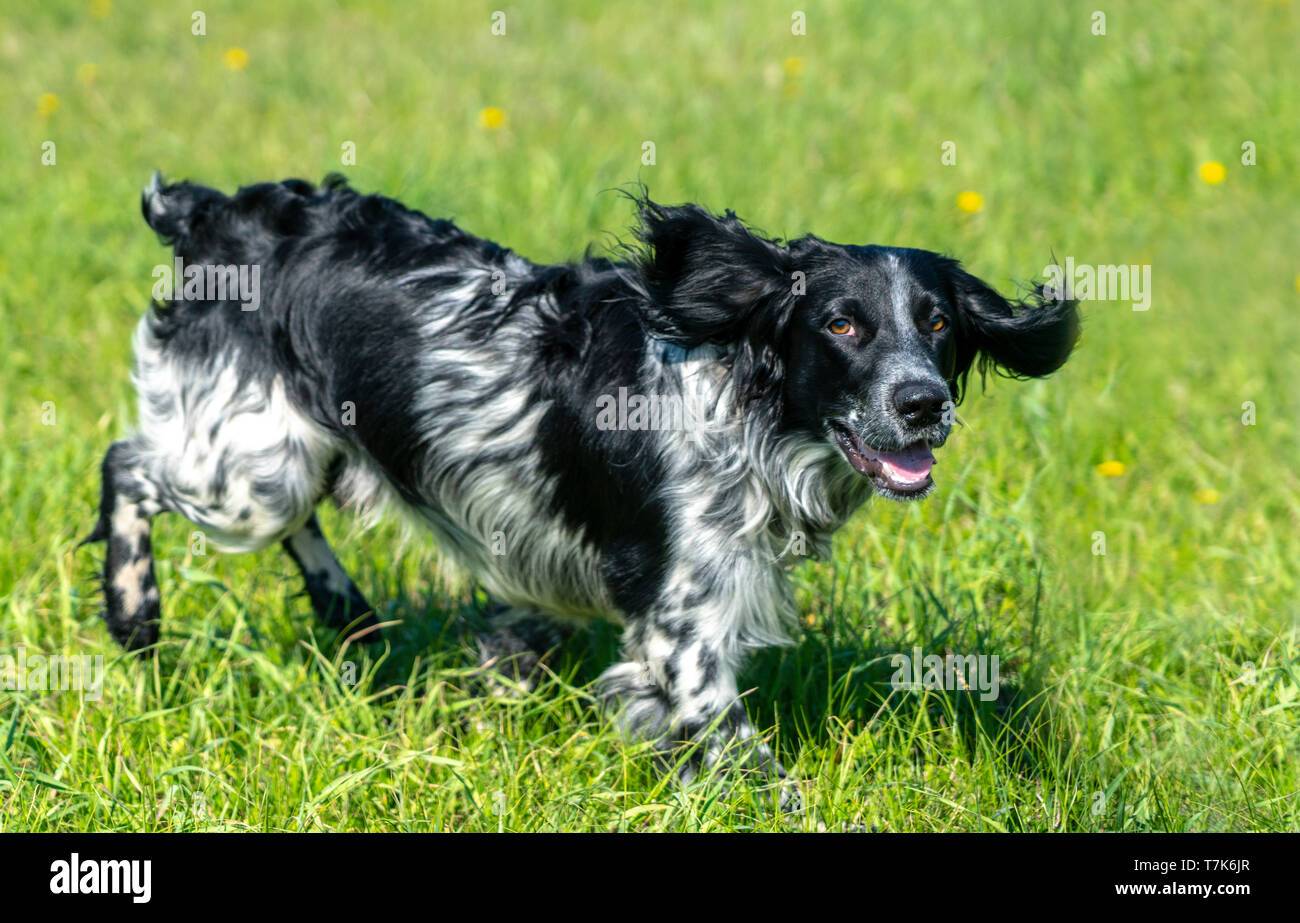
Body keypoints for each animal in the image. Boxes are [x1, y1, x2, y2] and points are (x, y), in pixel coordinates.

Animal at [83, 175, 1076, 811]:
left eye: (938, 323)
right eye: (842, 324)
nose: (924, 403)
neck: (738, 399)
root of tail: (215, 213)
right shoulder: (682, 629)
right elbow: (743, 753)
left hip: (297, 452)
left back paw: (348, 609)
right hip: (253, 470)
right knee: (126, 463)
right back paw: (137, 615)